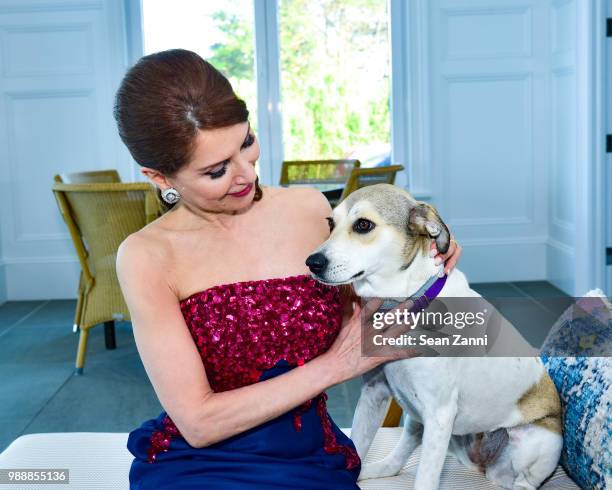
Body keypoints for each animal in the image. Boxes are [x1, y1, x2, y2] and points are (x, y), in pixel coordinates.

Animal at [306, 185, 564, 490]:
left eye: (363, 225)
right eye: (330, 223)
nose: (312, 262)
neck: (403, 305)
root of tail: (481, 464)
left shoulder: (439, 414)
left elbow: (425, 480)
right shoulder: (374, 393)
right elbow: (357, 447)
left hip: (535, 440)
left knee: (524, 484)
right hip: (417, 420)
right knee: (396, 461)